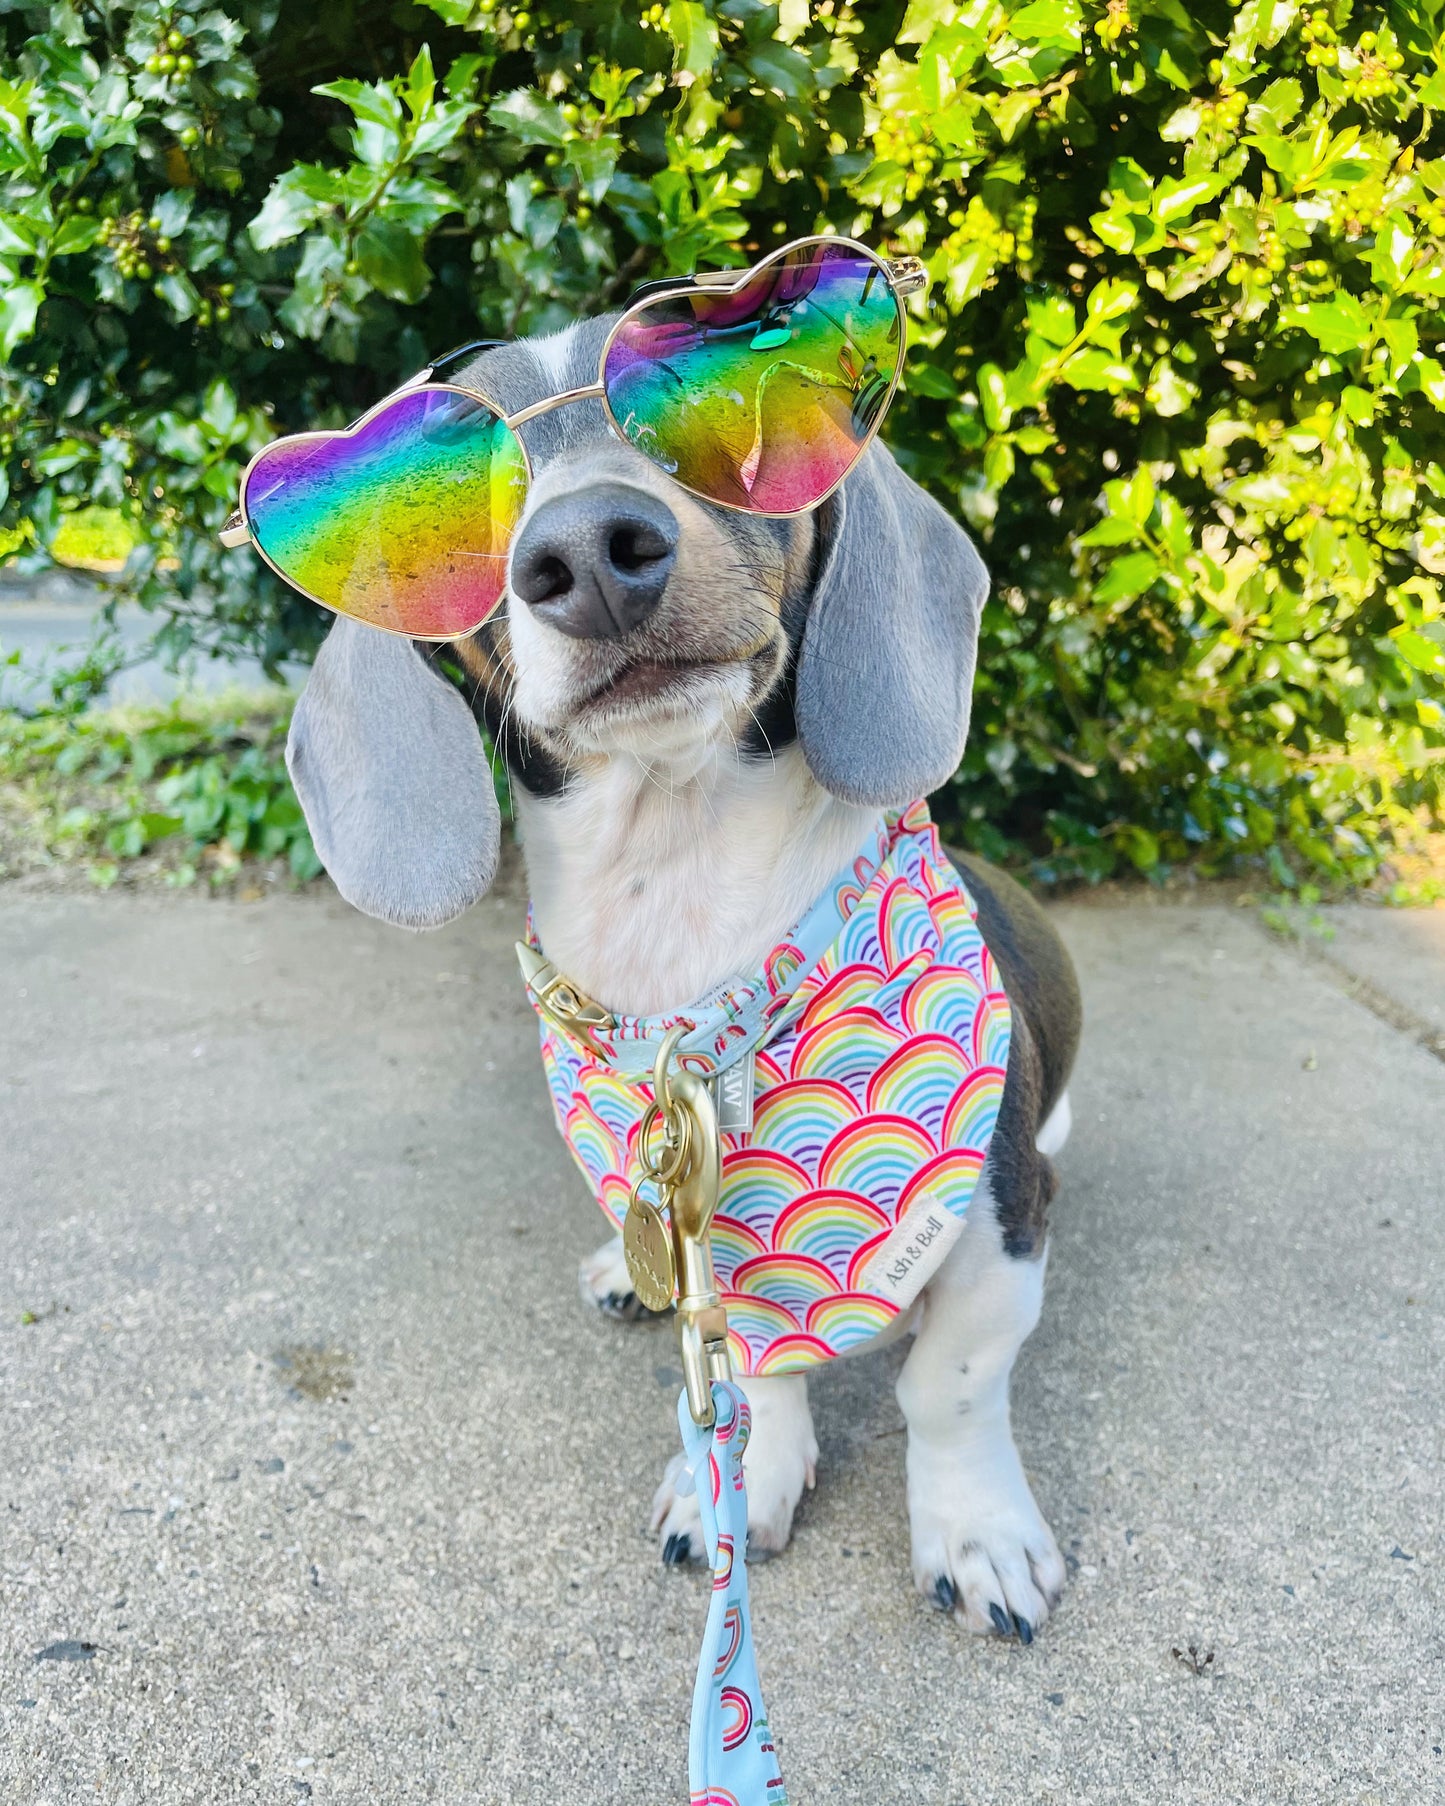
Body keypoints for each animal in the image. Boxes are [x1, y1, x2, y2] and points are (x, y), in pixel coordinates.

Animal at [281, 296, 1076, 1639]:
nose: (591, 552)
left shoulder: (994, 1234)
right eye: (442, 499)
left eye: (710, 406)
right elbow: (752, 1361)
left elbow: (949, 1384)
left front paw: (975, 1533)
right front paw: (743, 1480)